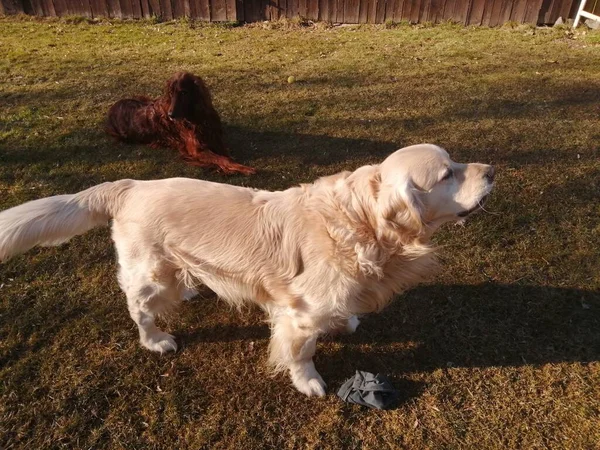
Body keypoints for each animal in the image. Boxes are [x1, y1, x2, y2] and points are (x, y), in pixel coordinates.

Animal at [0, 143, 492, 394]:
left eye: (457, 162)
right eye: (446, 174)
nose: (491, 170)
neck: (361, 223)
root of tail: (130, 186)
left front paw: (346, 321)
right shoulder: (298, 314)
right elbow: (301, 352)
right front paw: (308, 382)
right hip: (153, 276)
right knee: (138, 308)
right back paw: (155, 339)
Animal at [106, 71, 255, 175]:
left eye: (184, 93)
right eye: (171, 93)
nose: (170, 115)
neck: (195, 118)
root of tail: (112, 108)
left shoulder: (215, 138)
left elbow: (225, 154)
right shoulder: (197, 150)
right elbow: (223, 159)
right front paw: (242, 168)